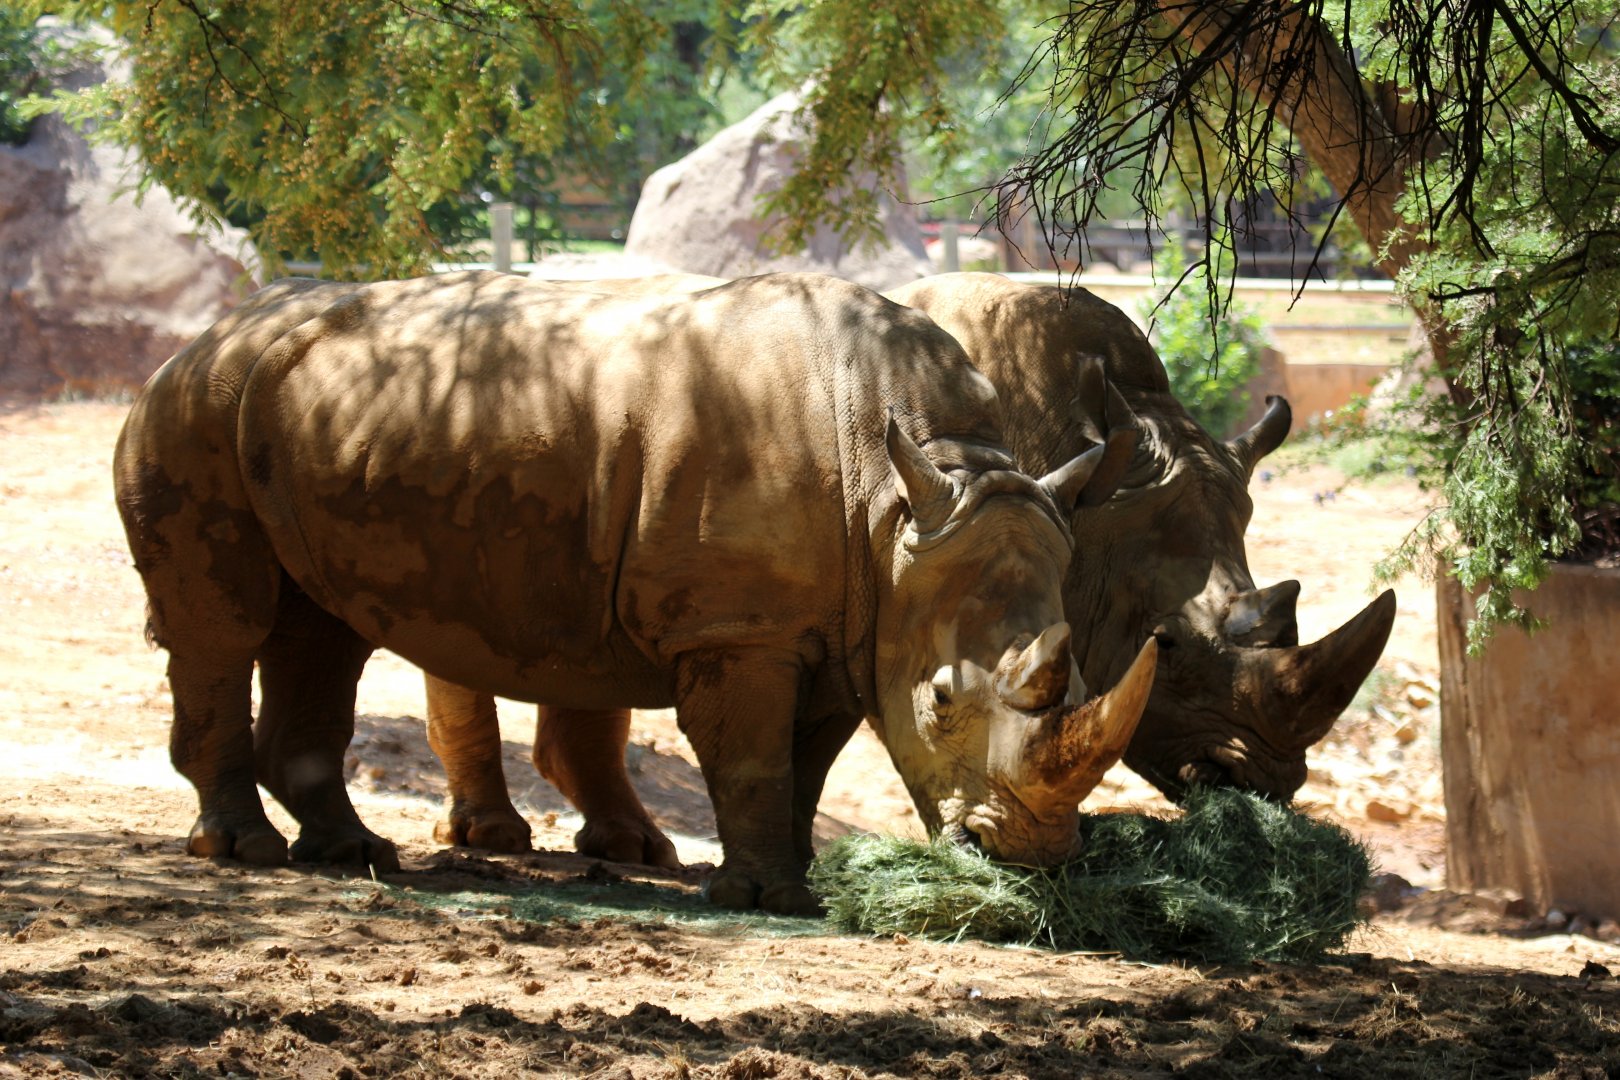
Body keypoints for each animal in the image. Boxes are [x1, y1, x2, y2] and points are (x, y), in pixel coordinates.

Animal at [113, 270, 1158, 913]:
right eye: (942, 700)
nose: (1026, 857)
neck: (906, 493)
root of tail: (194, 340)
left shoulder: (850, 623)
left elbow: (806, 763)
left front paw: (796, 883)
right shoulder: (739, 628)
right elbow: (752, 756)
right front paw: (765, 899)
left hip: (298, 424)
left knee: (320, 631)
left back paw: (349, 855)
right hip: (193, 413)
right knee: (226, 626)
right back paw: (244, 851)